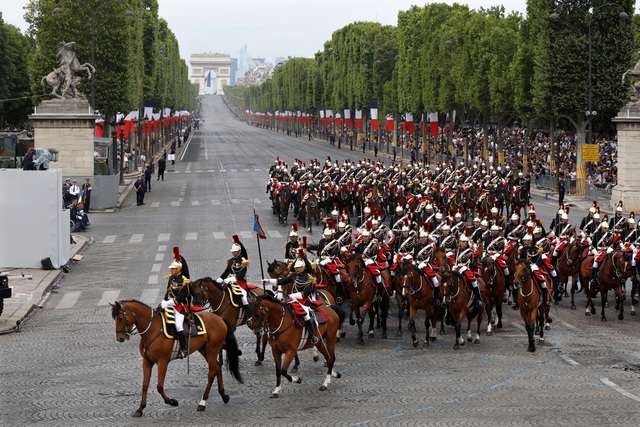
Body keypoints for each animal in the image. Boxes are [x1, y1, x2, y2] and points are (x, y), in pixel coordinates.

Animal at [110, 300, 242, 416]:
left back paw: (203, 402)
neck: (152, 329)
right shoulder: (147, 361)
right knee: (217, 367)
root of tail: (219, 318)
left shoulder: (163, 362)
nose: (120, 338)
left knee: (211, 373)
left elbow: (159, 386)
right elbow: (145, 385)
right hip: (204, 349)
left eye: (120, 318)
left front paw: (172, 402)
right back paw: (223, 395)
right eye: (115, 319)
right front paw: (140, 409)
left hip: (212, 349)